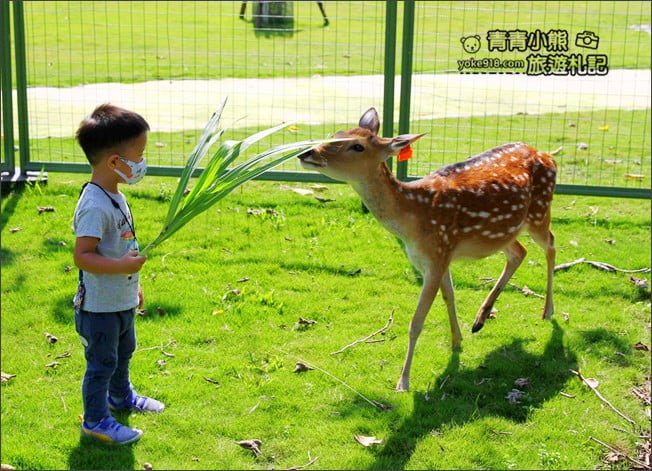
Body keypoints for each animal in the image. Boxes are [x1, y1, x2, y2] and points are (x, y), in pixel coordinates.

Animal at [299, 108, 556, 392]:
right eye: (336, 134)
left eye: (357, 146)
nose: (307, 153)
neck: (414, 217)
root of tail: (549, 155)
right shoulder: (440, 255)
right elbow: (450, 296)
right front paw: (457, 342)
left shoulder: (437, 253)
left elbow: (416, 321)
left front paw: (403, 381)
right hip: (505, 230)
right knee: (519, 252)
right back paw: (480, 319)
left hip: (539, 212)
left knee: (551, 244)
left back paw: (547, 311)